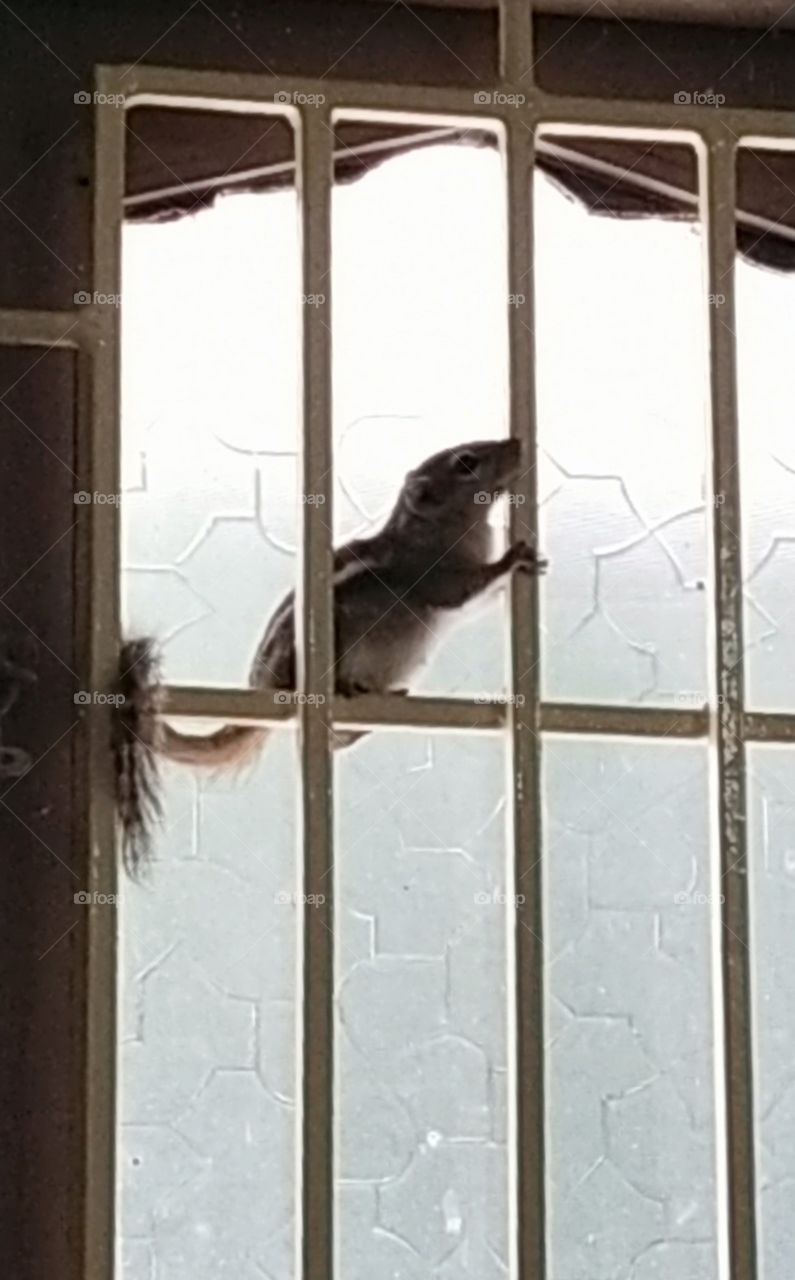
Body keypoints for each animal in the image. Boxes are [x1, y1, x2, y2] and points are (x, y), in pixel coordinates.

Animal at [114, 437, 547, 874]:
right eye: (466, 463)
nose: (516, 443)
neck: (430, 527)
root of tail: (264, 683)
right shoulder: (438, 576)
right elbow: (465, 591)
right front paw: (512, 559)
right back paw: (349, 689)